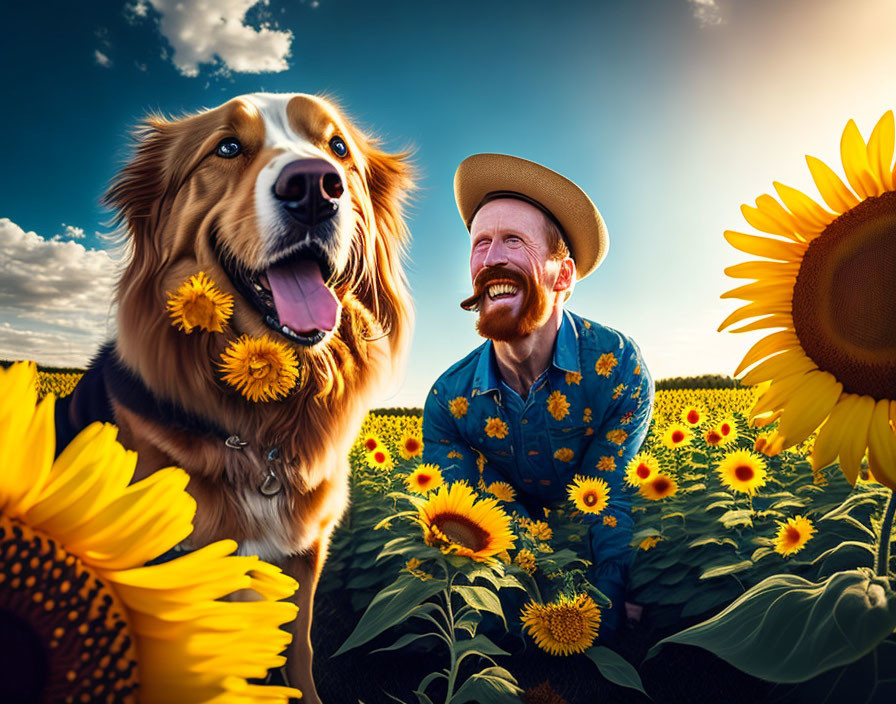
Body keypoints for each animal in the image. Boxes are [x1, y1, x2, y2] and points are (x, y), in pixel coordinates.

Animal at [55, 92, 416, 700]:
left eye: (337, 147)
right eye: (226, 147)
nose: (315, 186)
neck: (259, 430)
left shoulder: (304, 552)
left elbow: (300, 647)